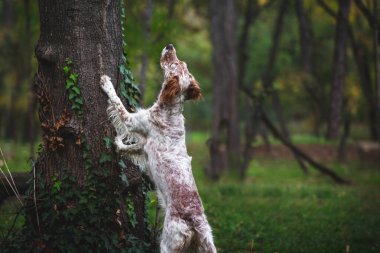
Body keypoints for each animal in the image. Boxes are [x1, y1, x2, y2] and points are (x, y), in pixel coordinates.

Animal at [99, 44, 217, 252]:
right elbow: (130, 146)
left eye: (174, 64)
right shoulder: (144, 145)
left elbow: (118, 103)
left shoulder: (132, 121)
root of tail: (194, 222)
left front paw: (106, 82)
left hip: (167, 242)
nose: (170, 46)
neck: (171, 110)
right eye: (180, 62)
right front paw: (119, 144)